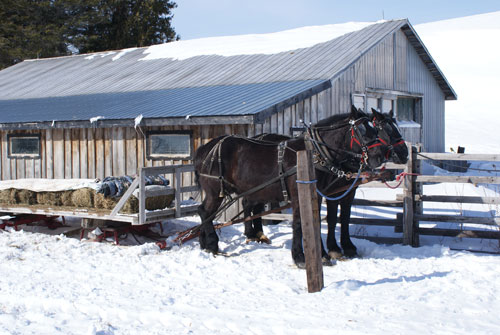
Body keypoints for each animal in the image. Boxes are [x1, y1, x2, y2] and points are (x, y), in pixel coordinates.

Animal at [194, 109, 386, 266]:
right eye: (362, 130)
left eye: (375, 129)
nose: (379, 157)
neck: (314, 154)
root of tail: (205, 149)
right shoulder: (299, 193)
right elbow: (300, 223)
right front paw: (300, 257)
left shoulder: (319, 194)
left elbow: (315, 221)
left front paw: (322, 255)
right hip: (215, 191)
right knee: (205, 211)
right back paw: (212, 244)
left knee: (207, 213)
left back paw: (205, 243)